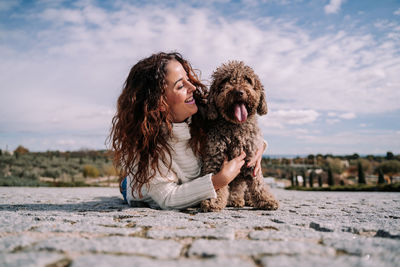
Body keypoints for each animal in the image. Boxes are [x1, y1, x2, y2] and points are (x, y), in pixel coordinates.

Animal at [200, 61, 278, 214]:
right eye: (225, 80)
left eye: (247, 79)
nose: (238, 92)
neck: (236, 126)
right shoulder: (215, 158)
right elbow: (217, 182)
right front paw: (213, 201)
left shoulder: (251, 158)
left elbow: (258, 183)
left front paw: (266, 200)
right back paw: (235, 200)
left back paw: (246, 200)